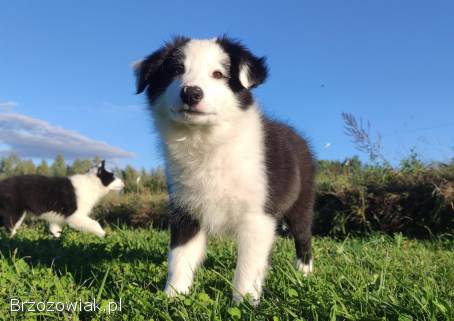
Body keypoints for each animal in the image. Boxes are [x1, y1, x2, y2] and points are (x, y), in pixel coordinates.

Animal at [135, 36, 316, 302]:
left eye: (218, 74)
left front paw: (244, 301)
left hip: (301, 203)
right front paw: (172, 296)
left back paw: (303, 271)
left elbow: (248, 265)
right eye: (176, 70)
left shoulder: (257, 215)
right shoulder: (185, 209)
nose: (191, 93)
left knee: (303, 236)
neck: (207, 141)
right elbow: (179, 256)